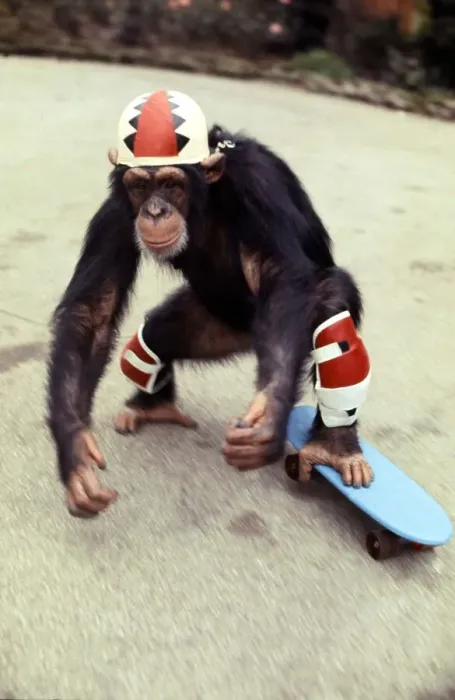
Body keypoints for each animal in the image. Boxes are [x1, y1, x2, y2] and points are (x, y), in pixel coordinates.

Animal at [46, 88, 373, 517]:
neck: (205, 198)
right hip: (216, 326)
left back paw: (335, 447)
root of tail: (249, 335)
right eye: (139, 188)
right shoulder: (115, 212)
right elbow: (93, 311)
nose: (154, 211)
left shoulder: (257, 183)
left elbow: (281, 273)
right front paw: (75, 455)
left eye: (171, 185)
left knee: (330, 304)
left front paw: (269, 415)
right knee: (154, 336)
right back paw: (152, 405)